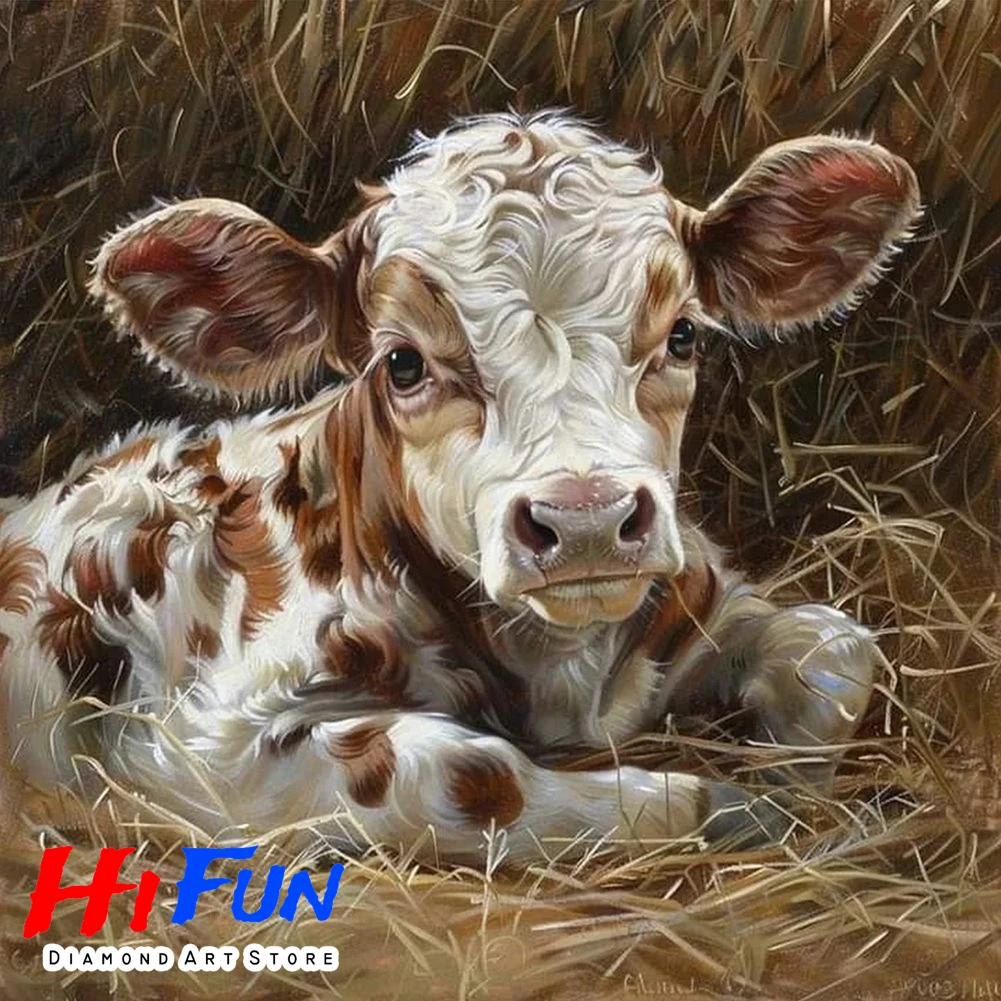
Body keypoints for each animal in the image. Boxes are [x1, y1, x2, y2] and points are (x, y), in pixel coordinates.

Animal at [0, 112, 919, 863]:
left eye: (683, 335)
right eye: (403, 362)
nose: (585, 520)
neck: (557, 672)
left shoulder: (695, 603)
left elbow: (836, 648)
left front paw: (794, 778)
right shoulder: (196, 750)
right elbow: (470, 771)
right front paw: (732, 806)